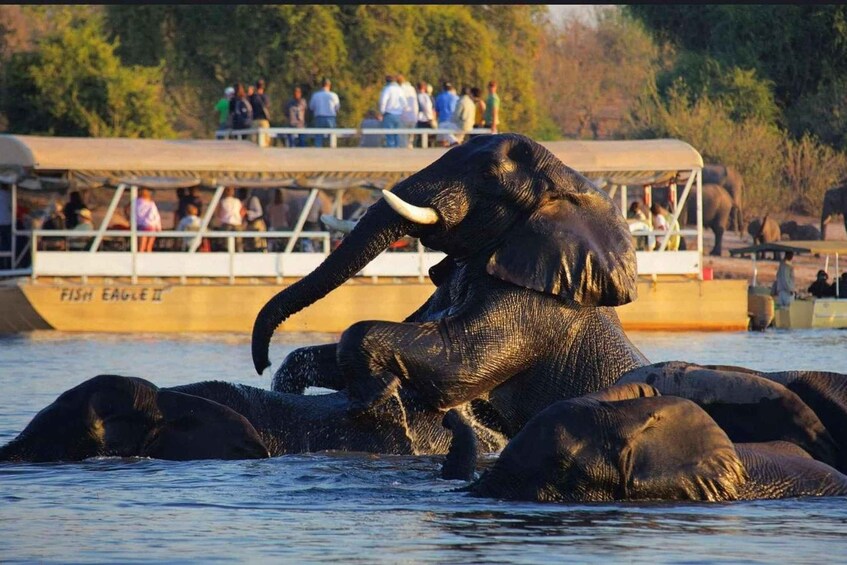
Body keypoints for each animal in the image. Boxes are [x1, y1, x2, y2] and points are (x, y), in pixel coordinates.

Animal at [253, 134, 648, 436]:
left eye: (488, 174)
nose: (261, 363)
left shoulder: (537, 308)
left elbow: (459, 362)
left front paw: (378, 397)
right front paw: (288, 385)